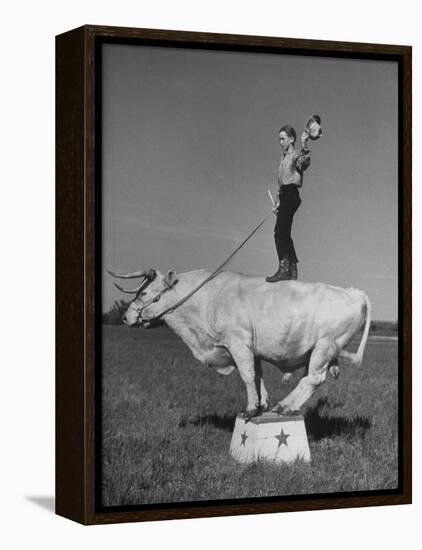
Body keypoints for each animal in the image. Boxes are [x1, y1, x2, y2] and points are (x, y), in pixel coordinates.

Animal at [108, 270, 370, 420]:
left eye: (144, 293)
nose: (124, 316)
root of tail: (353, 292)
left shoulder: (238, 342)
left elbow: (247, 375)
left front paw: (251, 408)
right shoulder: (249, 349)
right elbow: (257, 375)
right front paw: (262, 403)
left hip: (324, 347)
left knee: (314, 379)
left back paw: (285, 406)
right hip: (317, 351)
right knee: (309, 380)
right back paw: (285, 405)